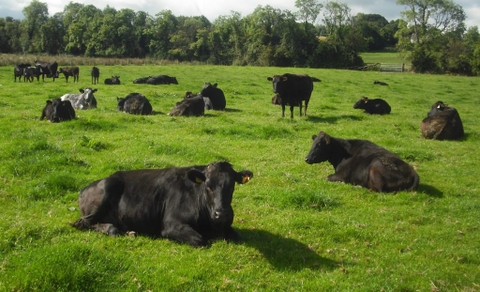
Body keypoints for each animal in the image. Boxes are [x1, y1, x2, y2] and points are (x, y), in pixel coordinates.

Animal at [70, 162, 255, 246]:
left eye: (231, 186)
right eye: (208, 186)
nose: (221, 213)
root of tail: (84, 189)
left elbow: (237, 236)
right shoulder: (171, 224)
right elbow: (200, 240)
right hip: (105, 192)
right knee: (83, 223)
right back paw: (112, 229)